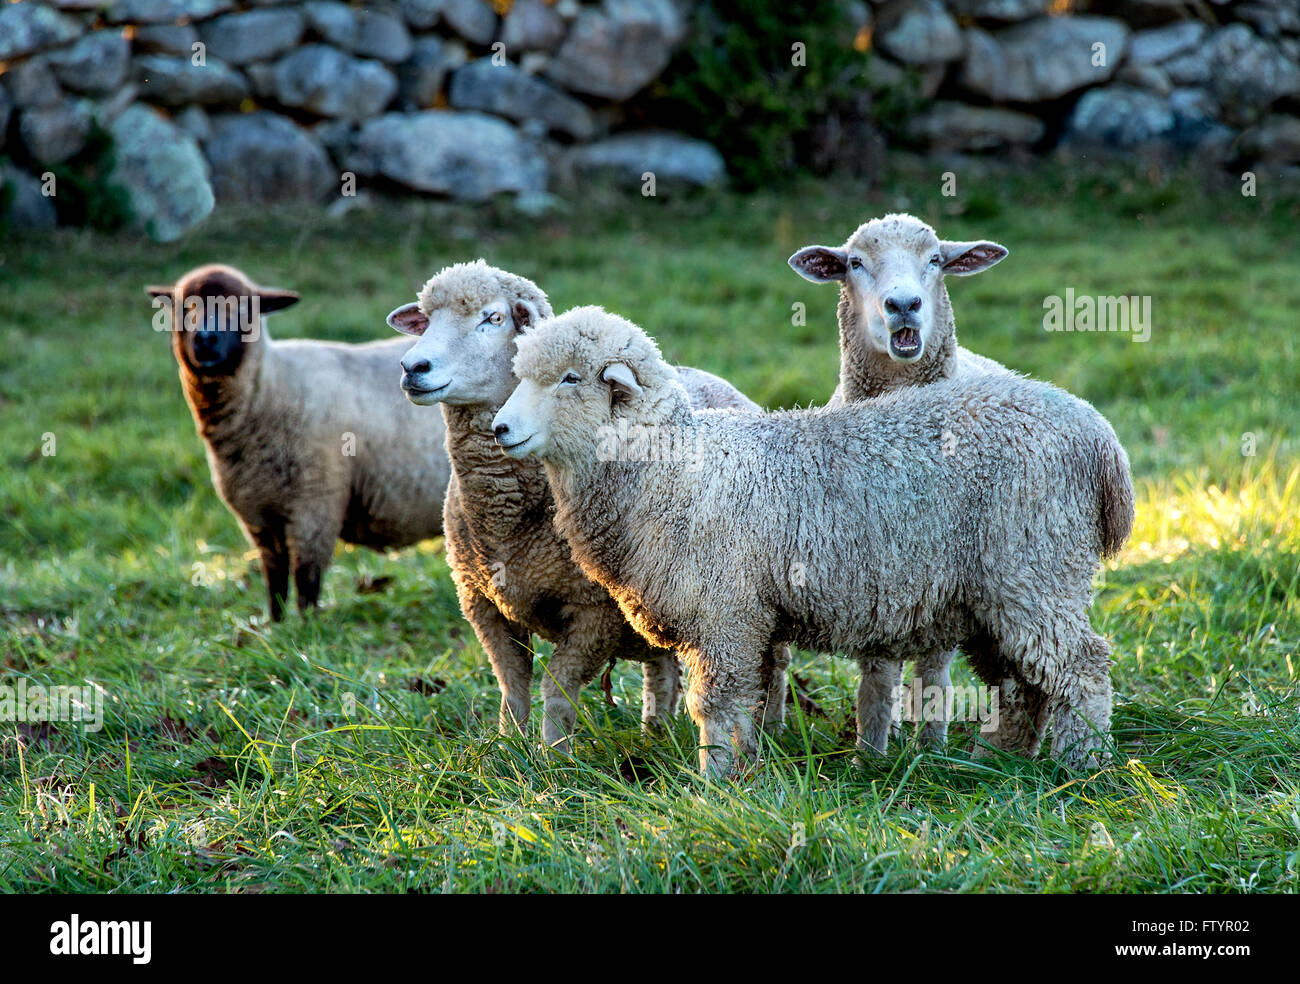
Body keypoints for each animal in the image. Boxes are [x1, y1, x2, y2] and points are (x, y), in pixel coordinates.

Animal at [146, 261, 449, 613]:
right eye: (185, 307)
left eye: (244, 309)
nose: (206, 339)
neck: (269, 386)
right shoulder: (258, 514)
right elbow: (274, 577)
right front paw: (275, 622)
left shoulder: (315, 504)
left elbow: (306, 578)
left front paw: (307, 623)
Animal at [384, 261, 785, 753]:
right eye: (425, 319)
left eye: (492, 317)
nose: (413, 367)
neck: (506, 518)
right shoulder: (481, 601)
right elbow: (512, 685)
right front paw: (508, 749)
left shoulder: (594, 612)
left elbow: (557, 686)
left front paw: (553, 754)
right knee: (661, 668)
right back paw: (655, 730)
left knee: (773, 666)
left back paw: (771, 730)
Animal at [491, 305, 1133, 774]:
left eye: (570, 378)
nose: (500, 428)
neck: (671, 471)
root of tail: (1096, 433)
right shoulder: (746, 620)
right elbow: (747, 701)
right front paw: (745, 771)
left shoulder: (724, 616)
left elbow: (715, 705)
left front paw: (713, 783)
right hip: (995, 593)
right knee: (1022, 682)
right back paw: (1000, 761)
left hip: (1034, 567)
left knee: (1082, 666)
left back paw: (1082, 766)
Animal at [790, 214, 1013, 748]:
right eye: (854, 262)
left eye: (935, 259)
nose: (904, 305)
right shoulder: (867, 568)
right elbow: (876, 675)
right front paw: (870, 749)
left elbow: (933, 670)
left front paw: (931, 746)